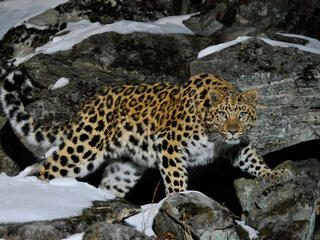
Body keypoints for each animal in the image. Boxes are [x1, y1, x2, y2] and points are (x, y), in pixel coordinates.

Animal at [0, 69, 292, 197]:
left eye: (241, 115)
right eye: (222, 114)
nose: (232, 129)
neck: (214, 134)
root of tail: (86, 105)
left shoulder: (236, 145)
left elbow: (253, 160)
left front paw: (275, 174)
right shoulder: (170, 144)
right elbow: (175, 178)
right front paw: (179, 198)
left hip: (125, 168)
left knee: (109, 185)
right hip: (83, 148)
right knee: (47, 168)